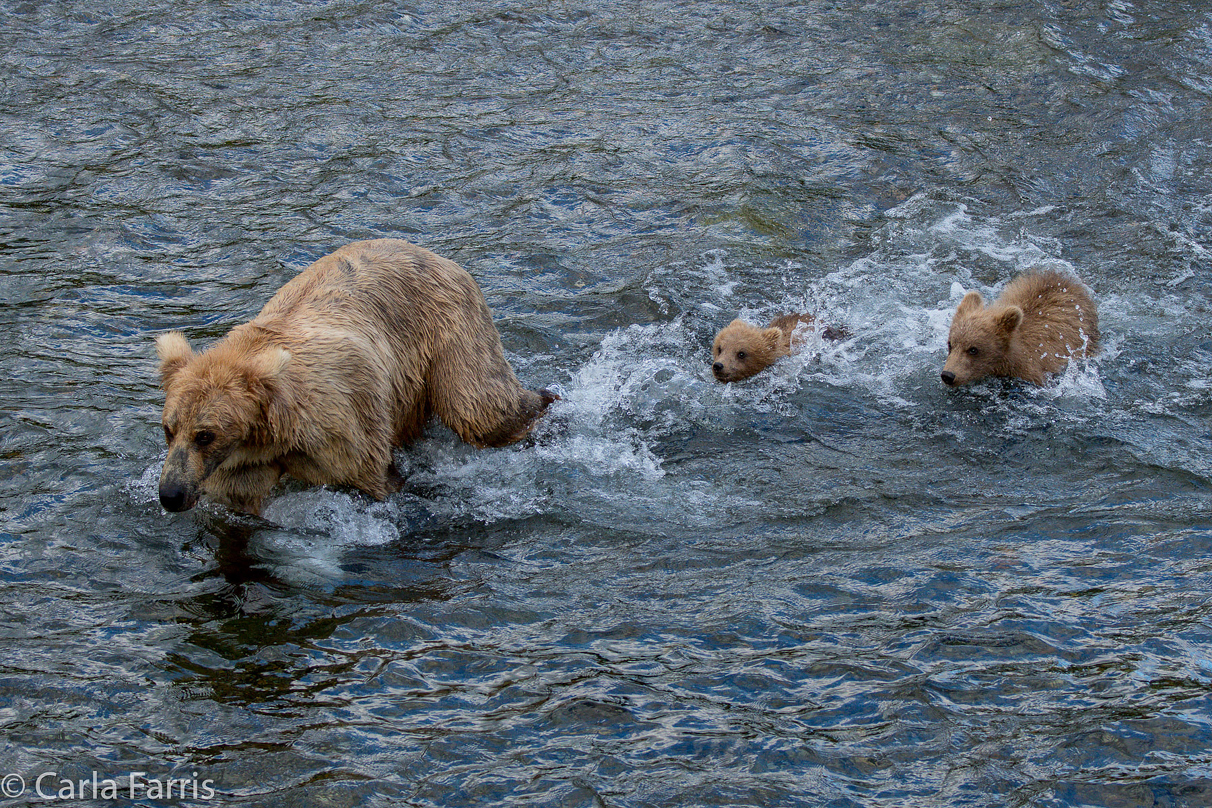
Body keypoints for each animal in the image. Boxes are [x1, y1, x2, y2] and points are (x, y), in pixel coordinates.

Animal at [156, 239, 557, 516]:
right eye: (168, 429)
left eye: (204, 434)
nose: (170, 494)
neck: (275, 432)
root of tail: (434, 253)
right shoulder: (243, 465)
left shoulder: (340, 420)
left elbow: (370, 476)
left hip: (448, 327)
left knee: (478, 406)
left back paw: (546, 402)